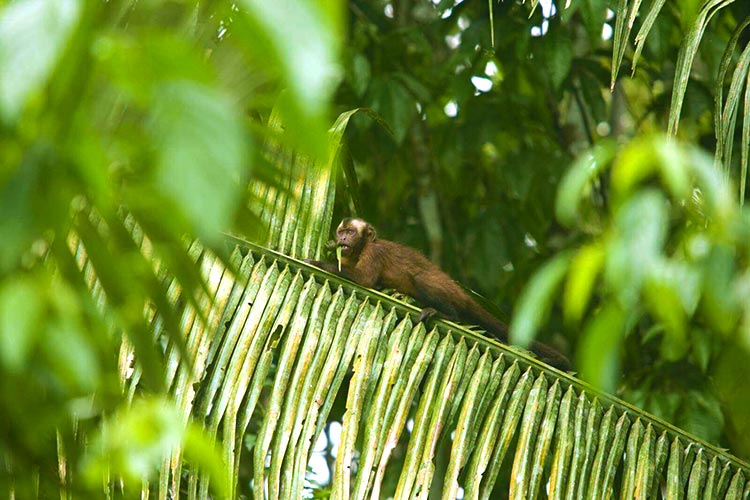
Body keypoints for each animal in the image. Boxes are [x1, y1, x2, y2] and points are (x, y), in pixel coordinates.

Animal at [306, 218, 568, 372]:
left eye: (350, 232)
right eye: (341, 232)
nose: (342, 239)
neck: (361, 248)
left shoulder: (375, 251)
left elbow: (364, 280)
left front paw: (316, 263)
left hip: (445, 289)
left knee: (422, 280)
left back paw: (449, 315)